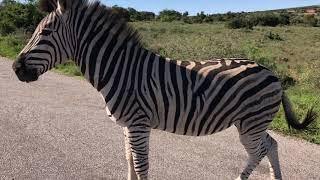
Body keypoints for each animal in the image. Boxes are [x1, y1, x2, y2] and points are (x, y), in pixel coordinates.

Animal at [11, 0, 316, 179]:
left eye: (45, 33)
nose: (15, 68)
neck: (120, 69)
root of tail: (271, 72)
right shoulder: (128, 125)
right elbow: (129, 161)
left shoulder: (138, 123)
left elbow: (141, 164)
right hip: (254, 122)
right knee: (272, 144)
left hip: (250, 123)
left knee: (258, 151)